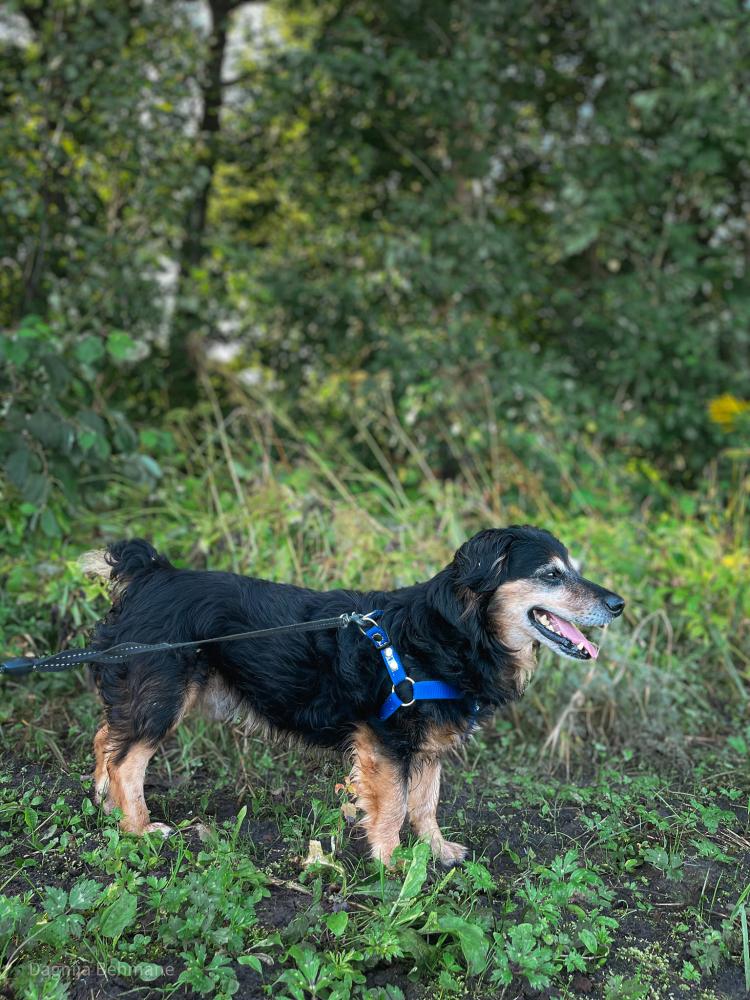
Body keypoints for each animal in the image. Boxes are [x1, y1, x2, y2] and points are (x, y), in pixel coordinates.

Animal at [82, 526, 624, 865]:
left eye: (573, 569)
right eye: (551, 574)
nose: (619, 604)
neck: (450, 633)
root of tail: (152, 573)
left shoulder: (427, 744)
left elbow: (425, 804)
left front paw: (436, 851)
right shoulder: (386, 739)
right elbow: (395, 806)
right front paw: (390, 863)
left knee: (106, 737)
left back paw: (108, 808)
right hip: (163, 697)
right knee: (126, 760)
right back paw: (139, 828)